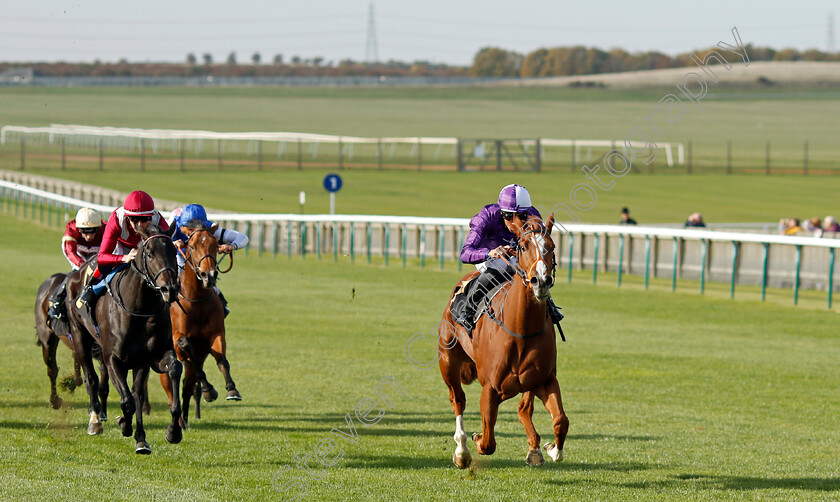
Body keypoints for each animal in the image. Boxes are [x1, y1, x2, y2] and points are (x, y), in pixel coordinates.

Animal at [65, 225, 184, 454]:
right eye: (149, 253)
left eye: (174, 251)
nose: (170, 289)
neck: (139, 309)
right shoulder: (112, 358)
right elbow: (126, 401)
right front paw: (123, 424)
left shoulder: (151, 357)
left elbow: (171, 371)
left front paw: (171, 432)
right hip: (79, 335)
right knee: (91, 377)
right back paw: (95, 420)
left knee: (136, 392)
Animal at [162, 222, 241, 430]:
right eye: (192, 246)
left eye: (215, 245)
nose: (209, 275)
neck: (196, 301)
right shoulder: (177, 340)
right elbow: (185, 345)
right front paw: (209, 390)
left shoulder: (215, 335)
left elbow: (222, 361)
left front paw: (232, 389)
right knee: (171, 389)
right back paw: (179, 420)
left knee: (187, 386)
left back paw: (185, 420)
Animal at [440, 215, 572, 466]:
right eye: (523, 246)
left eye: (551, 246)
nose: (540, 281)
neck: (521, 330)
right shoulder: (490, 387)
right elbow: (487, 441)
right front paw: (476, 439)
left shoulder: (545, 380)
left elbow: (561, 420)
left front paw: (551, 449)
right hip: (447, 359)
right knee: (457, 399)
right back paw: (462, 451)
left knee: (524, 409)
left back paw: (535, 449)